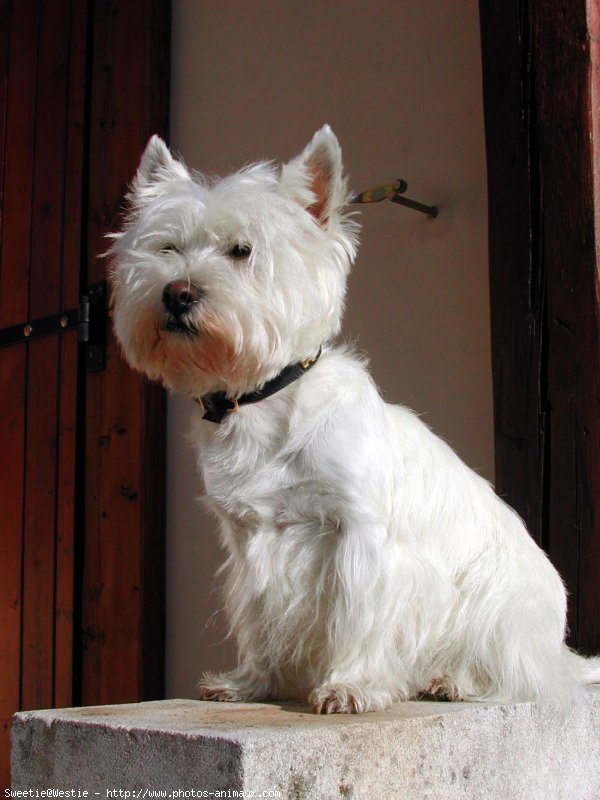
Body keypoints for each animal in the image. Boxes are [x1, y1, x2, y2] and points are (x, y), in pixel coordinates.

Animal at [109, 125, 600, 712]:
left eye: (242, 250)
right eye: (168, 247)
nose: (177, 293)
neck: (265, 404)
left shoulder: (362, 536)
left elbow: (359, 617)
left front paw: (351, 685)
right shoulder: (250, 542)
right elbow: (257, 615)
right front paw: (249, 682)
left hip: (499, 604)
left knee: (521, 671)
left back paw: (453, 680)